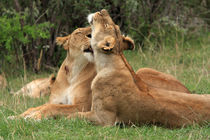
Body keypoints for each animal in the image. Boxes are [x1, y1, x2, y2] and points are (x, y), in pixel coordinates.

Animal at [67, 9, 210, 128]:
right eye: (116, 26)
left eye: (108, 25)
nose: (103, 10)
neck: (105, 64)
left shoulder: (104, 119)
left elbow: (74, 115)